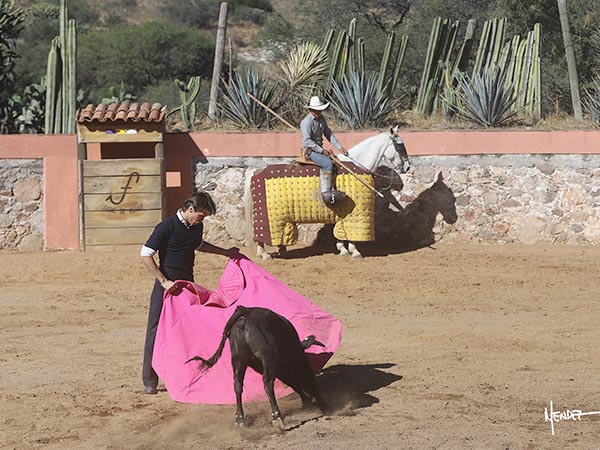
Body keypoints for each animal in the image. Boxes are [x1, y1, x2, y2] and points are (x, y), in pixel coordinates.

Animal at [185, 306, 330, 428]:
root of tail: (245, 312)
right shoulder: (298, 358)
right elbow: (307, 380)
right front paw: (323, 405)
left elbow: (294, 383)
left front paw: (308, 402)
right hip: (267, 357)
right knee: (267, 383)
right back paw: (277, 417)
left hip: (238, 359)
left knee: (238, 385)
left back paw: (240, 420)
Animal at [247, 127, 408, 260]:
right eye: (400, 145)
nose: (406, 167)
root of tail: (256, 171)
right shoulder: (354, 214)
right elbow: (350, 235)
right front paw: (355, 251)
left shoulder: (343, 213)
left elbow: (340, 232)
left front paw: (343, 249)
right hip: (271, 218)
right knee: (262, 235)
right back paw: (265, 254)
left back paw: (277, 250)